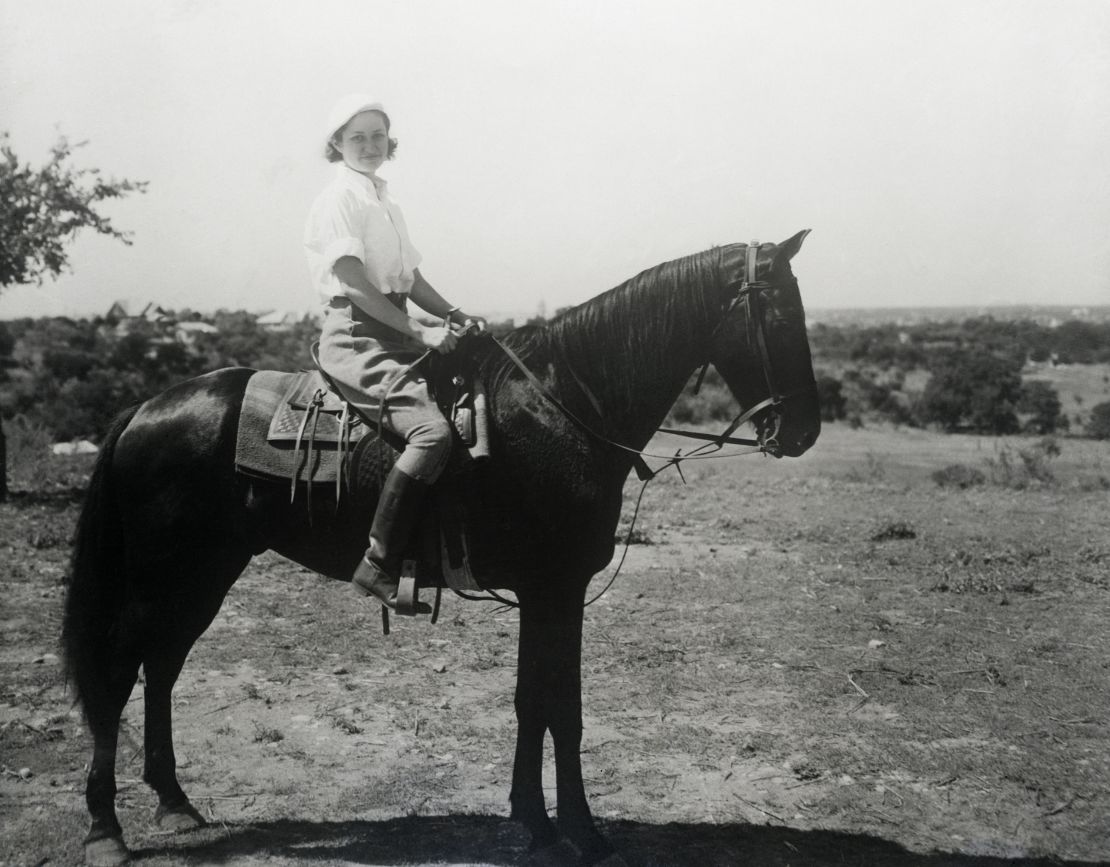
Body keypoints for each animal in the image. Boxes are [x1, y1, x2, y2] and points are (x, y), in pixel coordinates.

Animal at [62, 232, 825, 865]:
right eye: (783, 315)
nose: (805, 430)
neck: (562, 408)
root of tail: (145, 409)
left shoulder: (546, 594)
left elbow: (532, 700)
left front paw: (533, 819)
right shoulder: (557, 589)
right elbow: (562, 707)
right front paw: (581, 831)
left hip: (203, 574)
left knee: (161, 667)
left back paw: (174, 803)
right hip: (165, 576)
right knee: (120, 671)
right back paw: (105, 827)